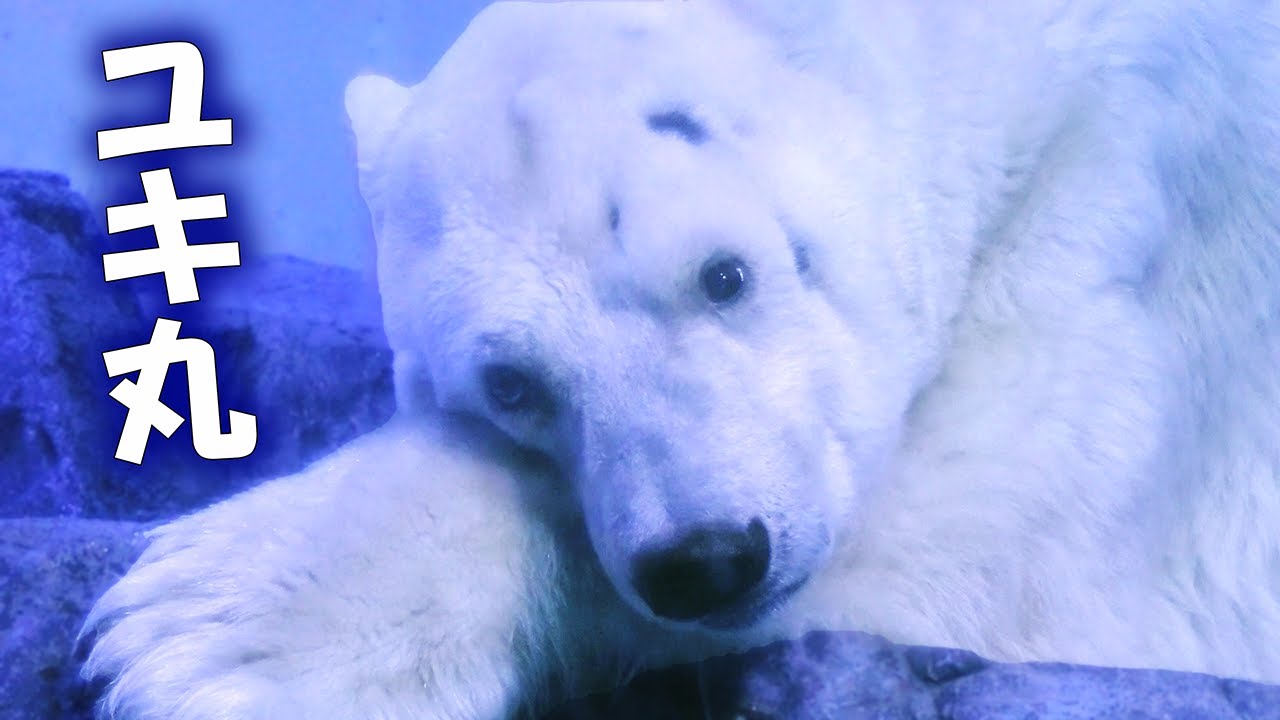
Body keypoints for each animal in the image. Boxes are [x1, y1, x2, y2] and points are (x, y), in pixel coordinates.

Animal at [83, 1, 1280, 718]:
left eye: (725, 273)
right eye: (509, 383)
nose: (705, 560)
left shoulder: (1136, 204)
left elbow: (996, 515)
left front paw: (212, 633)